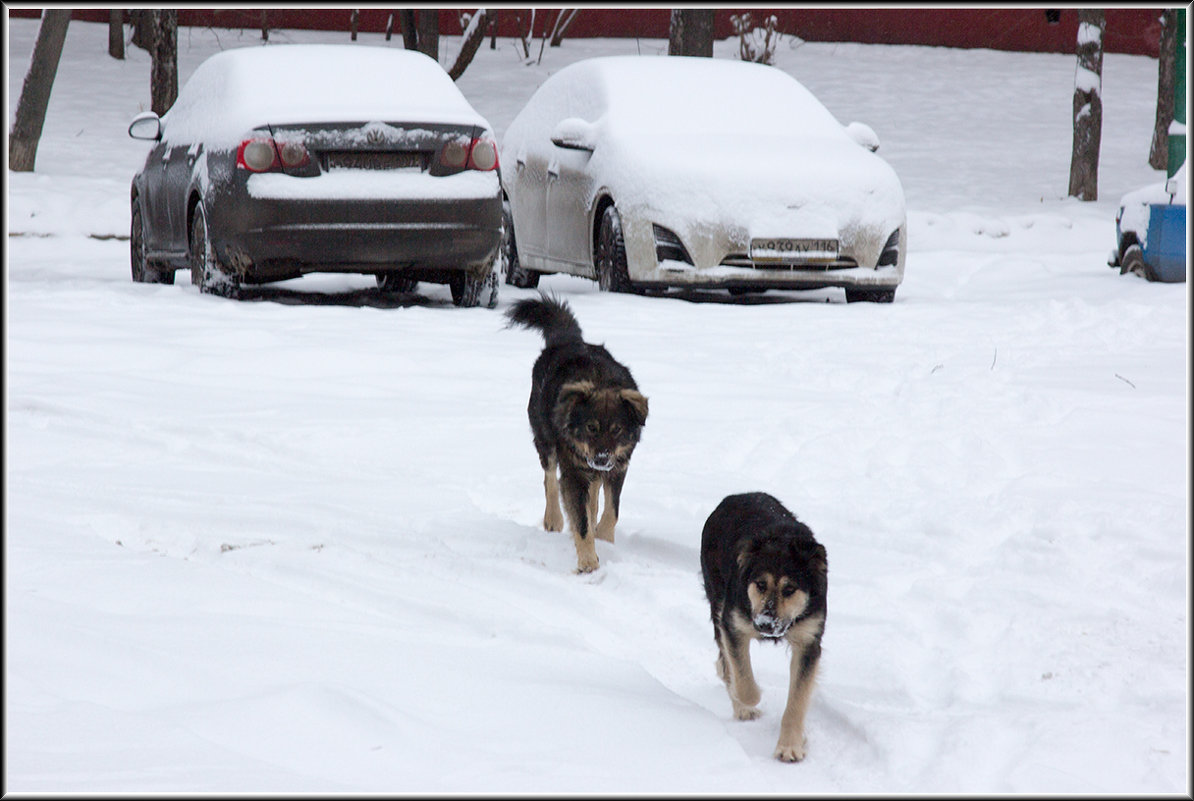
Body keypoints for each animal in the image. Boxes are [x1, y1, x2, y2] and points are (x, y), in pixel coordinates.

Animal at [506, 291, 649, 572]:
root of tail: (567, 341)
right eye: (590, 428)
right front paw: (588, 561)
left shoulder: (619, 466)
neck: (601, 381)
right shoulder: (574, 469)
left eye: (617, 429)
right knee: (550, 478)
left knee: (592, 495)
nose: (601, 459)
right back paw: (553, 518)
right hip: (546, 438)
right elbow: (580, 519)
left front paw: (603, 537)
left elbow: (611, 510)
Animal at [697, 491, 831, 759]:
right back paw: (740, 706)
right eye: (760, 584)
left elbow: (798, 698)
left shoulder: (809, 639)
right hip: (717, 600)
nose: (765, 624)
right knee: (726, 664)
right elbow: (743, 679)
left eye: (790, 589)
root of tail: (735, 495)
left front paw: (790, 745)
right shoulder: (733, 623)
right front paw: (748, 701)